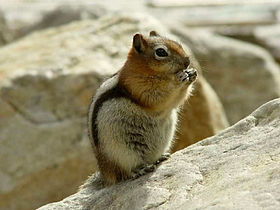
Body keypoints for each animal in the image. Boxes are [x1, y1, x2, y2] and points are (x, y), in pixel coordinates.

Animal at [88, 30, 197, 185]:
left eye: (178, 44)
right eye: (161, 52)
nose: (187, 61)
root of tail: (105, 173)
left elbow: (176, 101)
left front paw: (191, 74)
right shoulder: (138, 86)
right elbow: (156, 97)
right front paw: (179, 79)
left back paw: (159, 158)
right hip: (123, 153)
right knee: (125, 173)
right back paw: (140, 170)